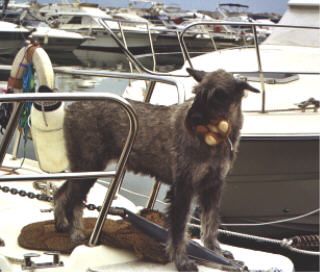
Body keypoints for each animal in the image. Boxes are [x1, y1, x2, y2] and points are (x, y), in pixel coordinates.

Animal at [53, 68, 258, 272]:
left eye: (218, 95)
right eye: (197, 92)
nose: (192, 120)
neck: (217, 137)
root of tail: (72, 107)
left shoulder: (213, 186)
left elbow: (210, 223)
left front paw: (216, 253)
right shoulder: (183, 187)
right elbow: (179, 229)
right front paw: (182, 261)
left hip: (83, 168)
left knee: (62, 194)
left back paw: (62, 224)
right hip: (89, 167)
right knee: (73, 201)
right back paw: (76, 235)